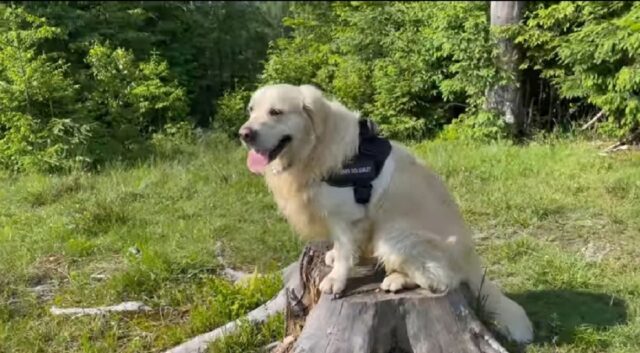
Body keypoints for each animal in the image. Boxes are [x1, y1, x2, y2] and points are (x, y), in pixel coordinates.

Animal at [238, 82, 532, 340]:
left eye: (276, 112)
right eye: (251, 110)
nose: (244, 134)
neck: (314, 148)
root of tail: (471, 257)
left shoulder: (348, 216)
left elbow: (345, 253)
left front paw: (336, 279)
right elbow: (341, 248)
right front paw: (332, 255)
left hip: (394, 236)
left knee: (444, 280)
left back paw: (397, 280)